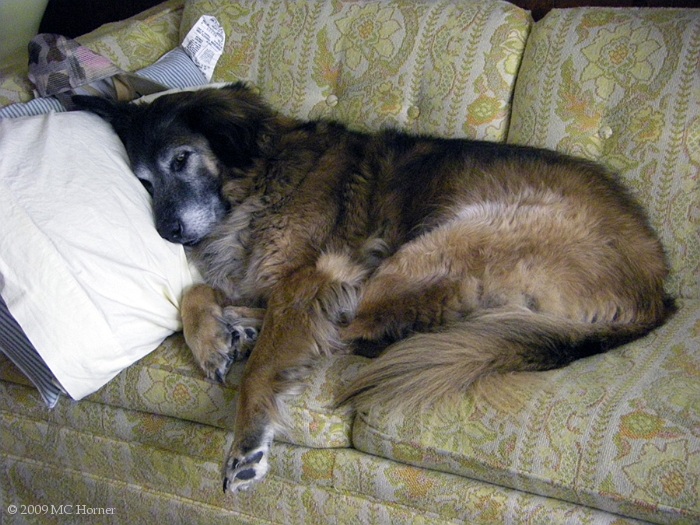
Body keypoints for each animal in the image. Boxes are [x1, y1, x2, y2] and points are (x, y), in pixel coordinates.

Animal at [74, 84, 668, 494]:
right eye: (143, 181)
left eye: (181, 159)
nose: (168, 232)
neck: (261, 175)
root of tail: (655, 295)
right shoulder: (268, 279)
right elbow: (194, 295)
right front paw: (212, 339)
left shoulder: (318, 274)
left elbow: (265, 362)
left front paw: (247, 437)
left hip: (439, 244)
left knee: (349, 330)